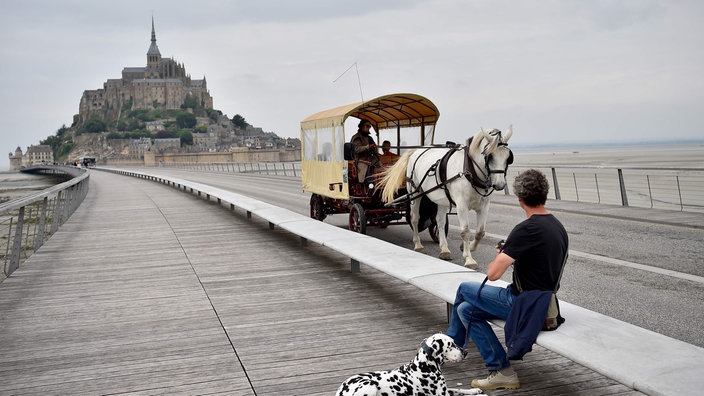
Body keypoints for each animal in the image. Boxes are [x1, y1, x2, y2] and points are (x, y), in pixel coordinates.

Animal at [336, 332, 484, 394]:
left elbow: (459, 389)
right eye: (451, 345)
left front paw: (474, 390)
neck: (425, 367)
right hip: (370, 385)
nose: (465, 352)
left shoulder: (446, 390)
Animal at [382, 127, 516, 270]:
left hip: (441, 199)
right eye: (490, 156)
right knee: (415, 219)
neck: (470, 170)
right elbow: (465, 231)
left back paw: (444, 249)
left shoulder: (484, 205)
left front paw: (468, 247)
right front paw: (469, 259)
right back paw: (417, 244)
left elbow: (480, 232)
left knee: (440, 222)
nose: (500, 184)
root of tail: (416, 150)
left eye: (508, 157)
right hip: (415, 194)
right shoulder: (462, 205)